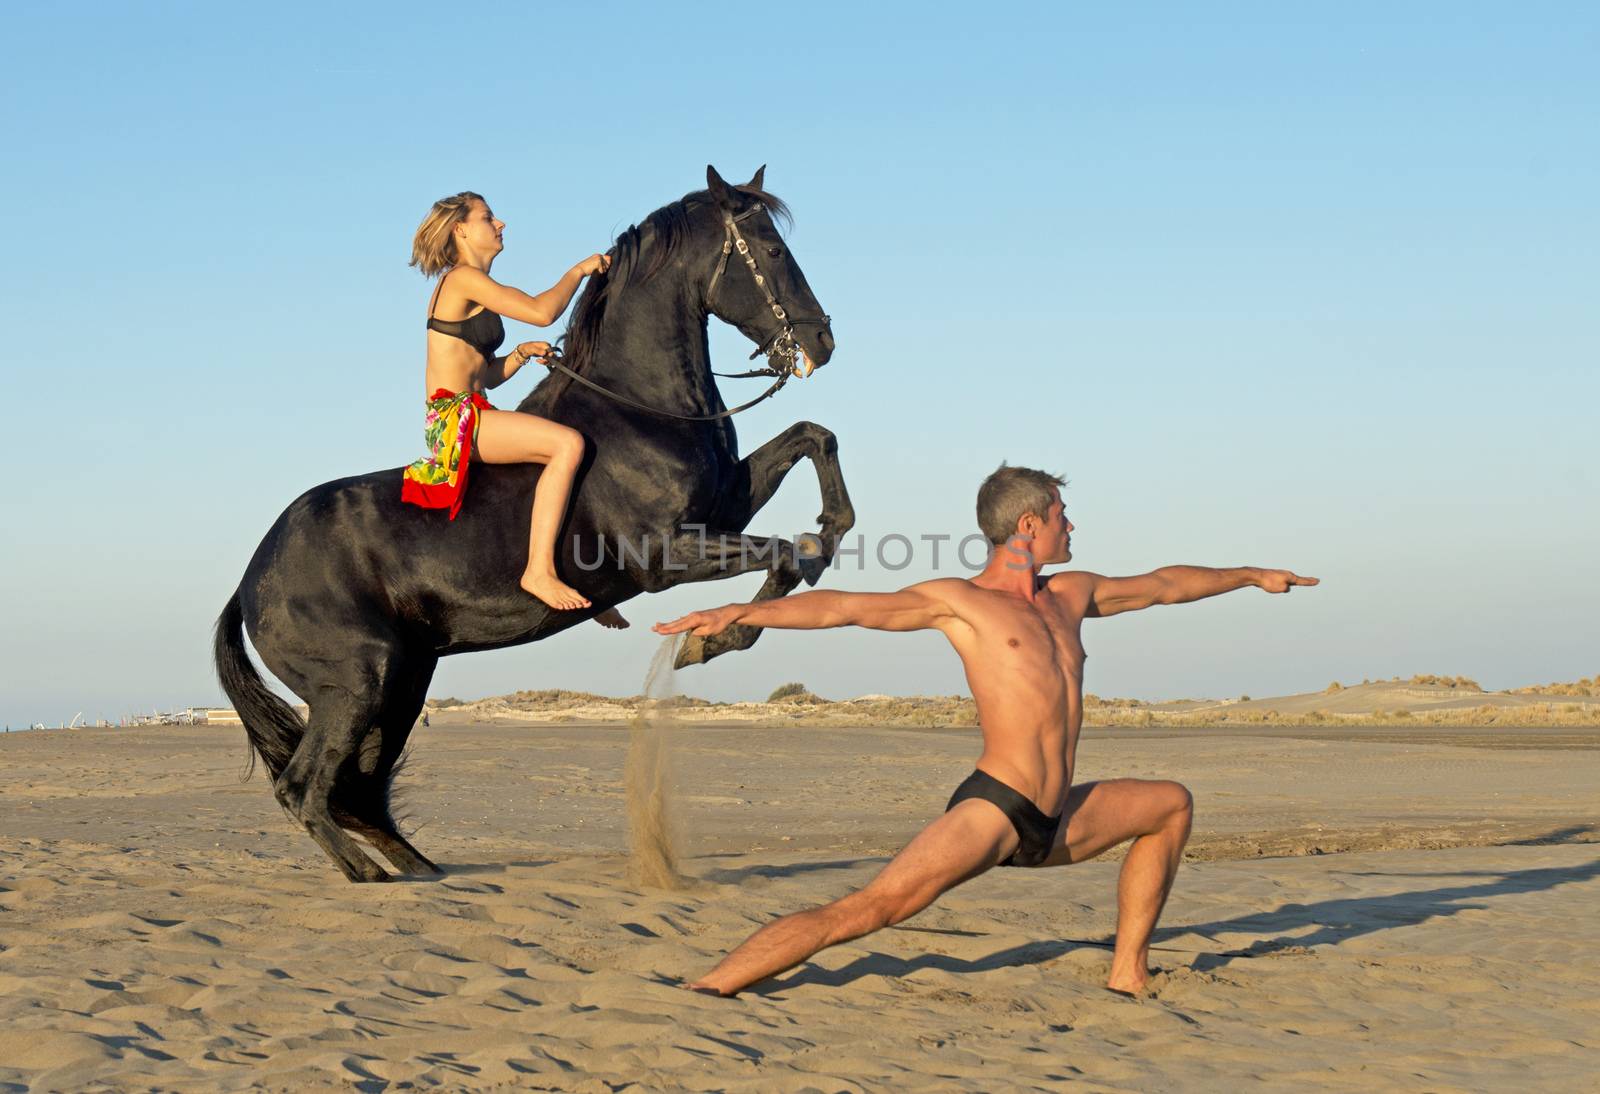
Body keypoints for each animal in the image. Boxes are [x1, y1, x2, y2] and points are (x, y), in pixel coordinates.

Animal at [222, 168, 864, 882]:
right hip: (358, 683)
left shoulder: (726, 505)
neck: (641, 407)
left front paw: (827, 536)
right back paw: (368, 878)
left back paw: (421, 871)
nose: (822, 342)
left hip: (403, 684)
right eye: (774, 251)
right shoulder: (667, 556)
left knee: (358, 790)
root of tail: (251, 580)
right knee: (304, 788)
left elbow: (815, 438)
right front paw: (712, 640)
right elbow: (781, 553)